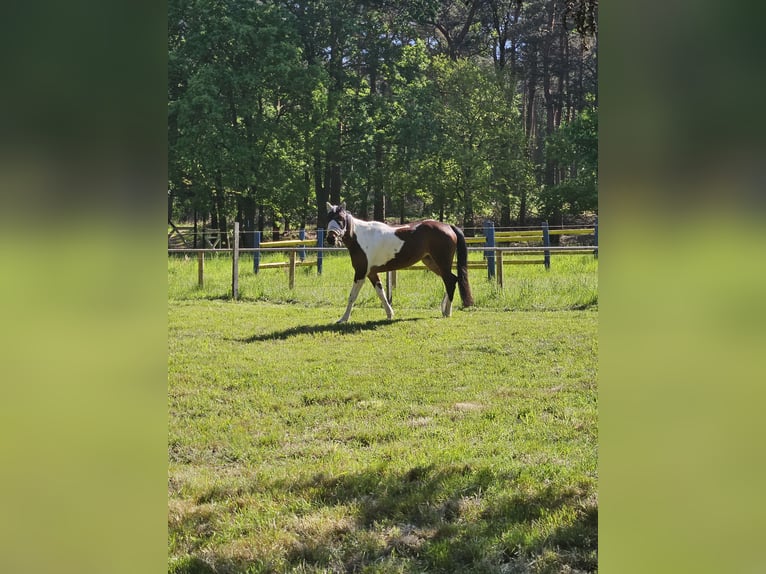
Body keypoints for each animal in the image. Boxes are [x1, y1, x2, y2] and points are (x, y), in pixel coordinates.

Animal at [324, 204, 474, 324]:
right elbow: (381, 294)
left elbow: (352, 296)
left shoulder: (360, 273)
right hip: (432, 262)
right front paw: (390, 314)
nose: (331, 238)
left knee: (450, 281)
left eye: (340, 219)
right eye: (328, 218)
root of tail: (448, 226)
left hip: (442, 263)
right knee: (451, 280)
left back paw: (447, 312)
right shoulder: (372, 273)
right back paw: (443, 309)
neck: (361, 237)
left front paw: (343, 319)